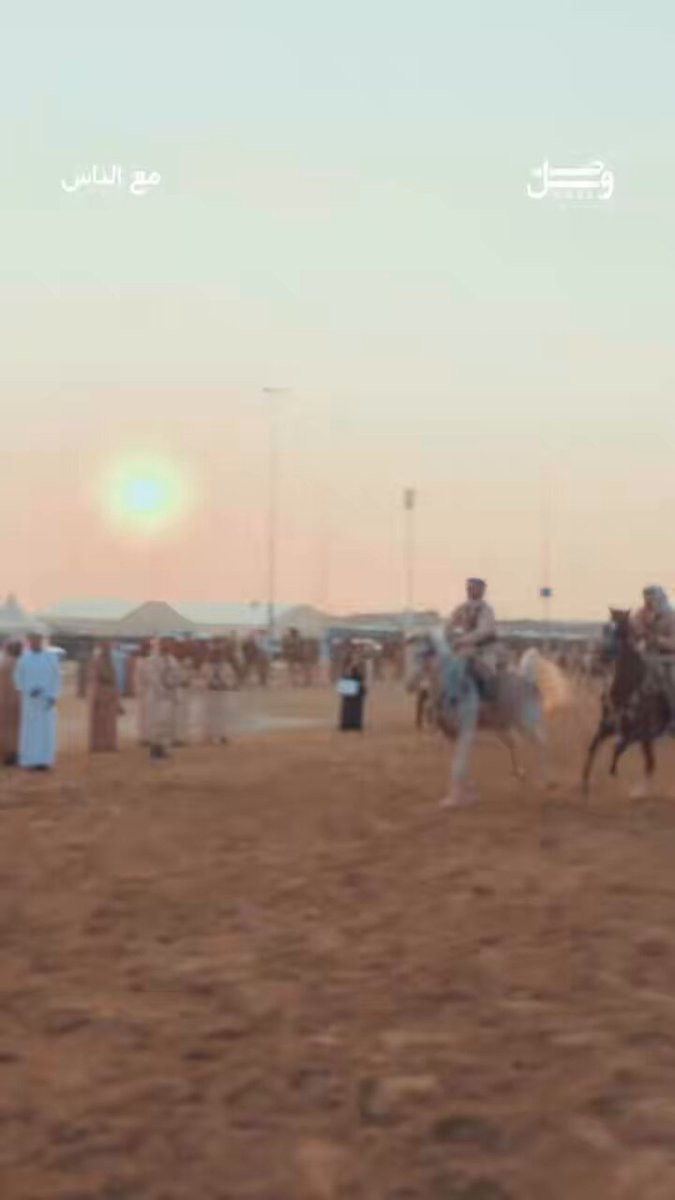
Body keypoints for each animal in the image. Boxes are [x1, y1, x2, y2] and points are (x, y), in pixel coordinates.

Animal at [405, 630, 569, 807]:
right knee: (514, 744)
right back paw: (519, 772)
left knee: (541, 743)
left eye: (422, 653)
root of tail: (528, 680)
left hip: (526, 724)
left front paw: (453, 800)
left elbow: (459, 766)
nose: (409, 685)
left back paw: (547, 782)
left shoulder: (466, 732)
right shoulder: (450, 734)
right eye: (406, 653)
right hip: (502, 728)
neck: (452, 686)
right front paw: (467, 793)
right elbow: (459, 764)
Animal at [581, 609, 671, 798]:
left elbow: (620, 749)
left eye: (622, 631)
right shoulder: (608, 726)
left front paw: (616, 773)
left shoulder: (639, 732)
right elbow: (593, 747)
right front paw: (584, 784)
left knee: (649, 761)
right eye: (606, 628)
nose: (603, 655)